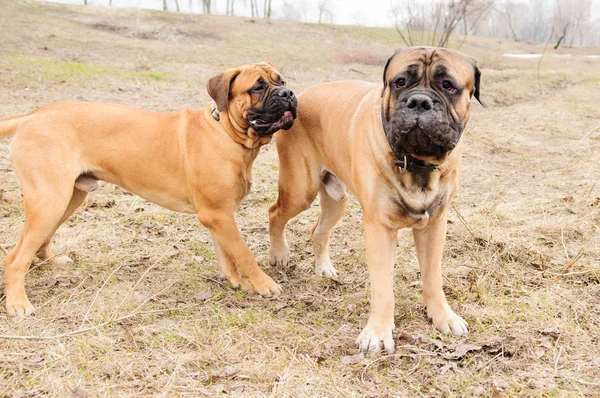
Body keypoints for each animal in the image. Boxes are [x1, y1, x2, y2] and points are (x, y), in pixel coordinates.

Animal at [1, 61, 296, 318]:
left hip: (68, 198)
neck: (225, 131)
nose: (289, 93)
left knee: (36, 243)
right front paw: (264, 284)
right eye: (257, 87)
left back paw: (51, 262)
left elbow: (228, 255)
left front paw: (239, 283)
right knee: (15, 258)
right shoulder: (218, 214)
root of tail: (32, 115)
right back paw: (18, 304)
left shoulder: (219, 214)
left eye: (281, 81)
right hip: (50, 201)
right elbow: (243, 253)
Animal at [270, 47, 482, 354]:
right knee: (275, 213)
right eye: (400, 82)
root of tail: (301, 96)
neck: (415, 162)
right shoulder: (379, 228)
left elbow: (433, 277)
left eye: (448, 85)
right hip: (300, 189)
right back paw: (279, 254)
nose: (419, 101)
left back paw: (323, 267)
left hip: (336, 198)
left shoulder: (434, 226)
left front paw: (443, 316)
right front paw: (378, 332)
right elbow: (383, 285)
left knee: (318, 231)